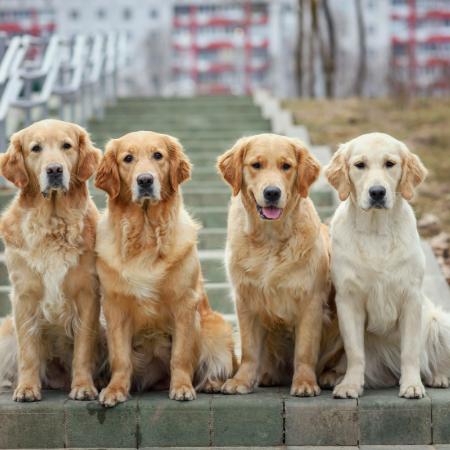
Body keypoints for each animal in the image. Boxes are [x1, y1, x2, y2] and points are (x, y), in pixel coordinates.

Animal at [0, 118, 103, 400]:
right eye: (36, 148)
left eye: (66, 145)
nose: (54, 169)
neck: (53, 222)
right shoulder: (24, 296)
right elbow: (28, 352)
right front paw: (26, 388)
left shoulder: (88, 294)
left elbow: (83, 349)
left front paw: (83, 387)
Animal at [93, 131, 237, 408]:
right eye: (128, 158)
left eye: (157, 155)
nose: (145, 180)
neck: (146, 236)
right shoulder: (114, 307)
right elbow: (120, 357)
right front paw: (115, 390)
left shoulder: (184, 304)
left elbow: (180, 355)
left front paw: (181, 387)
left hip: (217, 328)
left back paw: (211, 383)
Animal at [218, 134, 334, 398]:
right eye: (256, 165)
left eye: (286, 166)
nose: (272, 192)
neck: (270, 239)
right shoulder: (245, 300)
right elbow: (249, 350)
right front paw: (242, 381)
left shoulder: (311, 302)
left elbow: (304, 350)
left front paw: (304, 382)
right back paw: (267, 376)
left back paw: (331, 377)